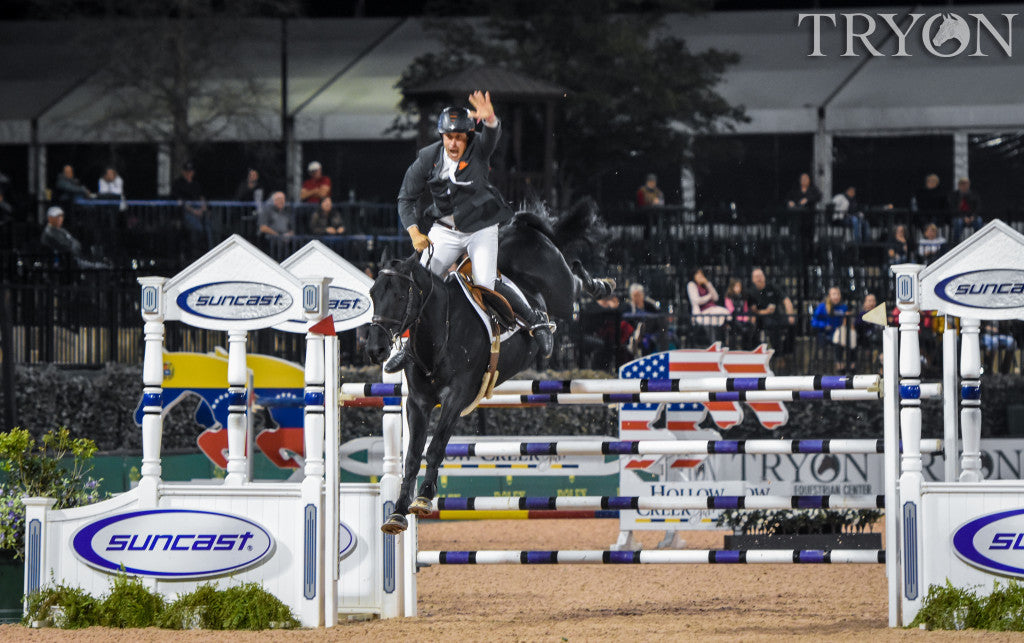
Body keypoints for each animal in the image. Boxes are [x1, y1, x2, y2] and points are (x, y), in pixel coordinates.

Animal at [366, 200, 610, 532]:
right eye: (372, 293)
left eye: (401, 295)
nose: (375, 349)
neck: (440, 332)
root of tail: (519, 227)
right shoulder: (417, 402)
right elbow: (413, 455)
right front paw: (398, 512)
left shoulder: (457, 397)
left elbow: (436, 446)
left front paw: (424, 499)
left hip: (560, 293)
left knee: (573, 281)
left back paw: (595, 289)